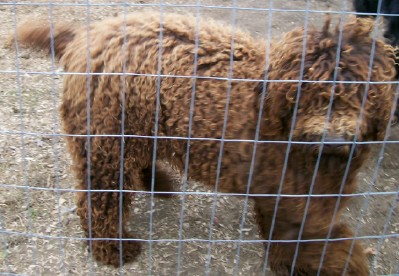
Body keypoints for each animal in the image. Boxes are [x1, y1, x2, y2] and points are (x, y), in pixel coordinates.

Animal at [9, 11, 396, 274]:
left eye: (363, 95)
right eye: (310, 93)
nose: (333, 137)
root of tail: (89, 34)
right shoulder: (295, 203)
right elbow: (318, 246)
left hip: (135, 129)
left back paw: (159, 184)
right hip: (105, 140)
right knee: (99, 199)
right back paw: (112, 249)